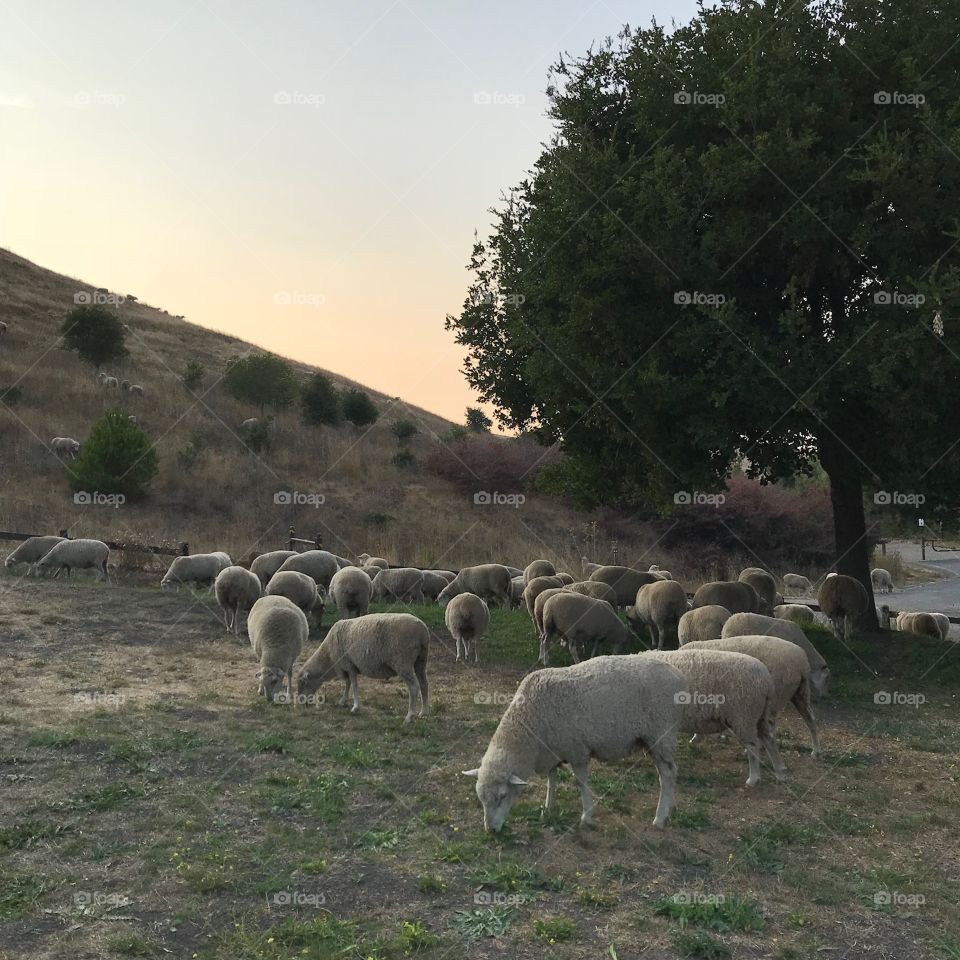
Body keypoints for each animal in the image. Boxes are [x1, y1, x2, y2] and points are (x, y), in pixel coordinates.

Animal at [296, 613, 429, 723]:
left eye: (303, 683)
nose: (301, 701)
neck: (328, 657)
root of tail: (422, 632)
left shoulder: (348, 665)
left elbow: (353, 685)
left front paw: (355, 707)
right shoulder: (347, 667)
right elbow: (348, 684)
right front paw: (343, 701)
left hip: (402, 662)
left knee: (414, 687)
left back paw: (409, 717)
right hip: (420, 661)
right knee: (424, 684)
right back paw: (423, 712)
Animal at [462, 655, 688, 831]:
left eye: (502, 796)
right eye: (480, 799)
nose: (490, 831)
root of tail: (678, 675)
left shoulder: (577, 751)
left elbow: (580, 783)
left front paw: (587, 817)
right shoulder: (552, 749)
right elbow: (552, 779)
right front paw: (548, 806)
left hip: (661, 734)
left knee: (668, 774)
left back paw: (660, 818)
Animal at [642, 648, 786, 786]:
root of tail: (766, 680)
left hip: (744, 715)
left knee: (753, 746)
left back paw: (753, 779)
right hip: (760, 715)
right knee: (769, 740)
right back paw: (780, 773)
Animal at [682, 635, 820, 756]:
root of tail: (803, 664)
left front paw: (696, 737)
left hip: (776, 694)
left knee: (769, 725)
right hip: (800, 693)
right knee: (810, 719)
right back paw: (816, 751)